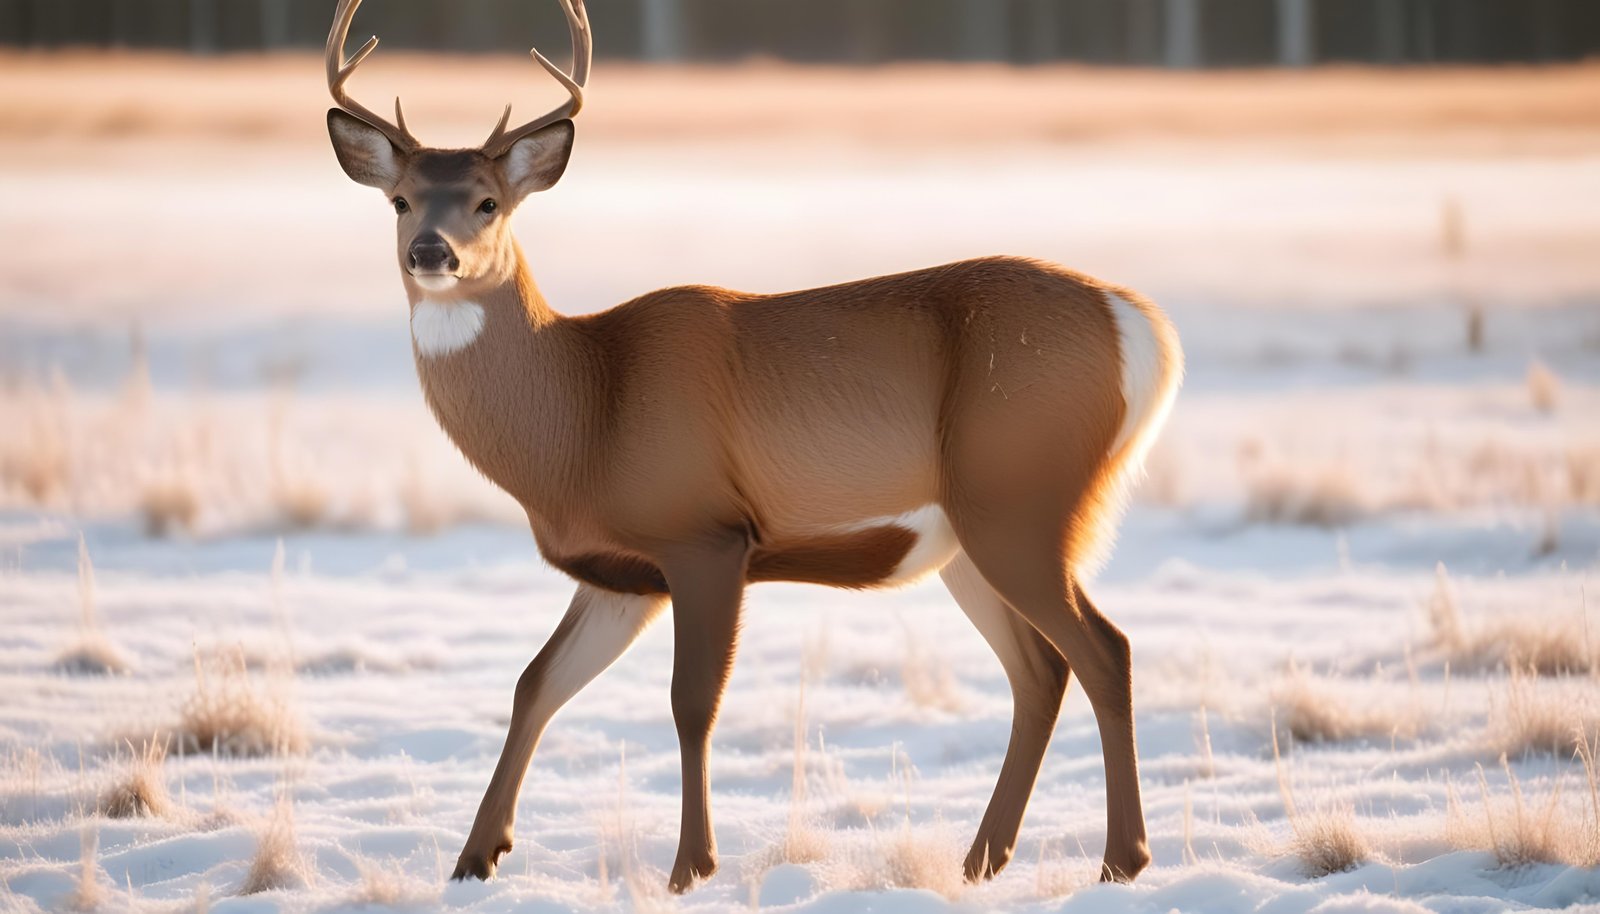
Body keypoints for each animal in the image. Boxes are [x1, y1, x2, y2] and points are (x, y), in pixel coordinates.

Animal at [323, 0, 1181, 894]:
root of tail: (1144, 330)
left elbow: (691, 700)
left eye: (489, 202)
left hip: (1022, 501)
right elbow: (538, 683)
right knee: (1039, 671)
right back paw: (983, 859)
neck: (586, 417)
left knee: (1106, 651)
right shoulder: (623, 573)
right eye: (399, 200)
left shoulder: (705, 533)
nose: (432, 251)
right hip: (968, 537)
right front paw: (474, 858)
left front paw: (690, 867)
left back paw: (1121, 860)